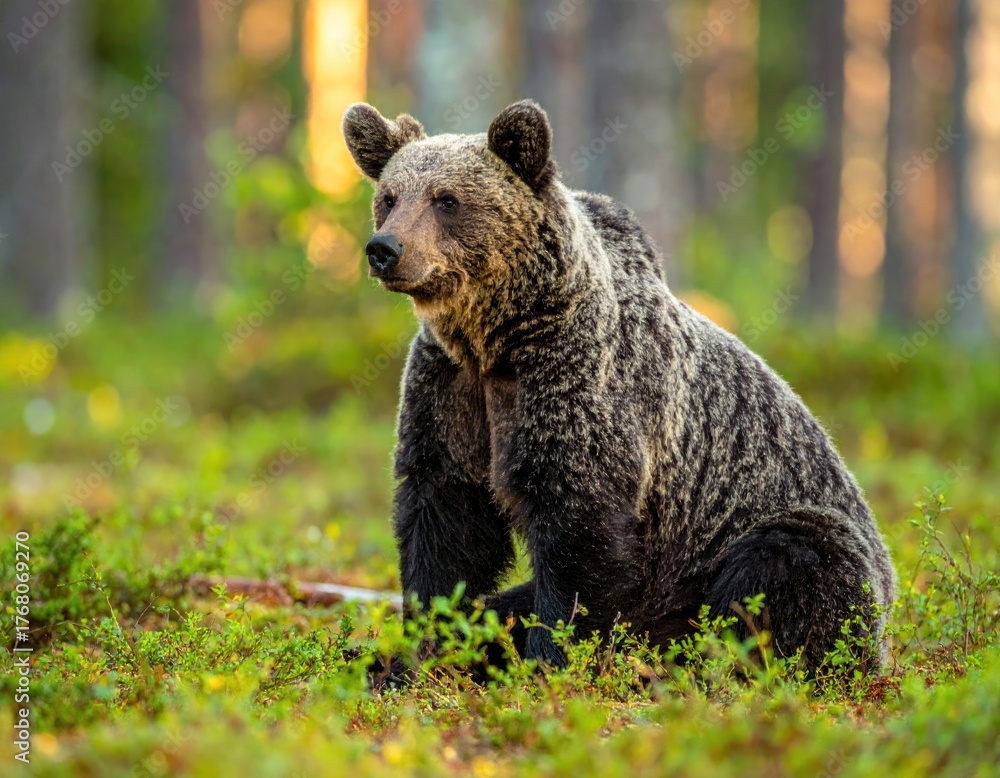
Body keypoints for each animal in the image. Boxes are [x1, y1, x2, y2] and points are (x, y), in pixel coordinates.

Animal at [342, 99, 897, 673]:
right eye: (390, 197)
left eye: (447, 200)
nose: (384, 249)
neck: (498, 338)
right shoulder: (451, 386)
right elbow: (444, 517)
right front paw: (415, 656)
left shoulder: (582, 384)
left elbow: (582, 530)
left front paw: (550, 661)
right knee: (506, 605)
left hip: (749, 552)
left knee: (791, 558)